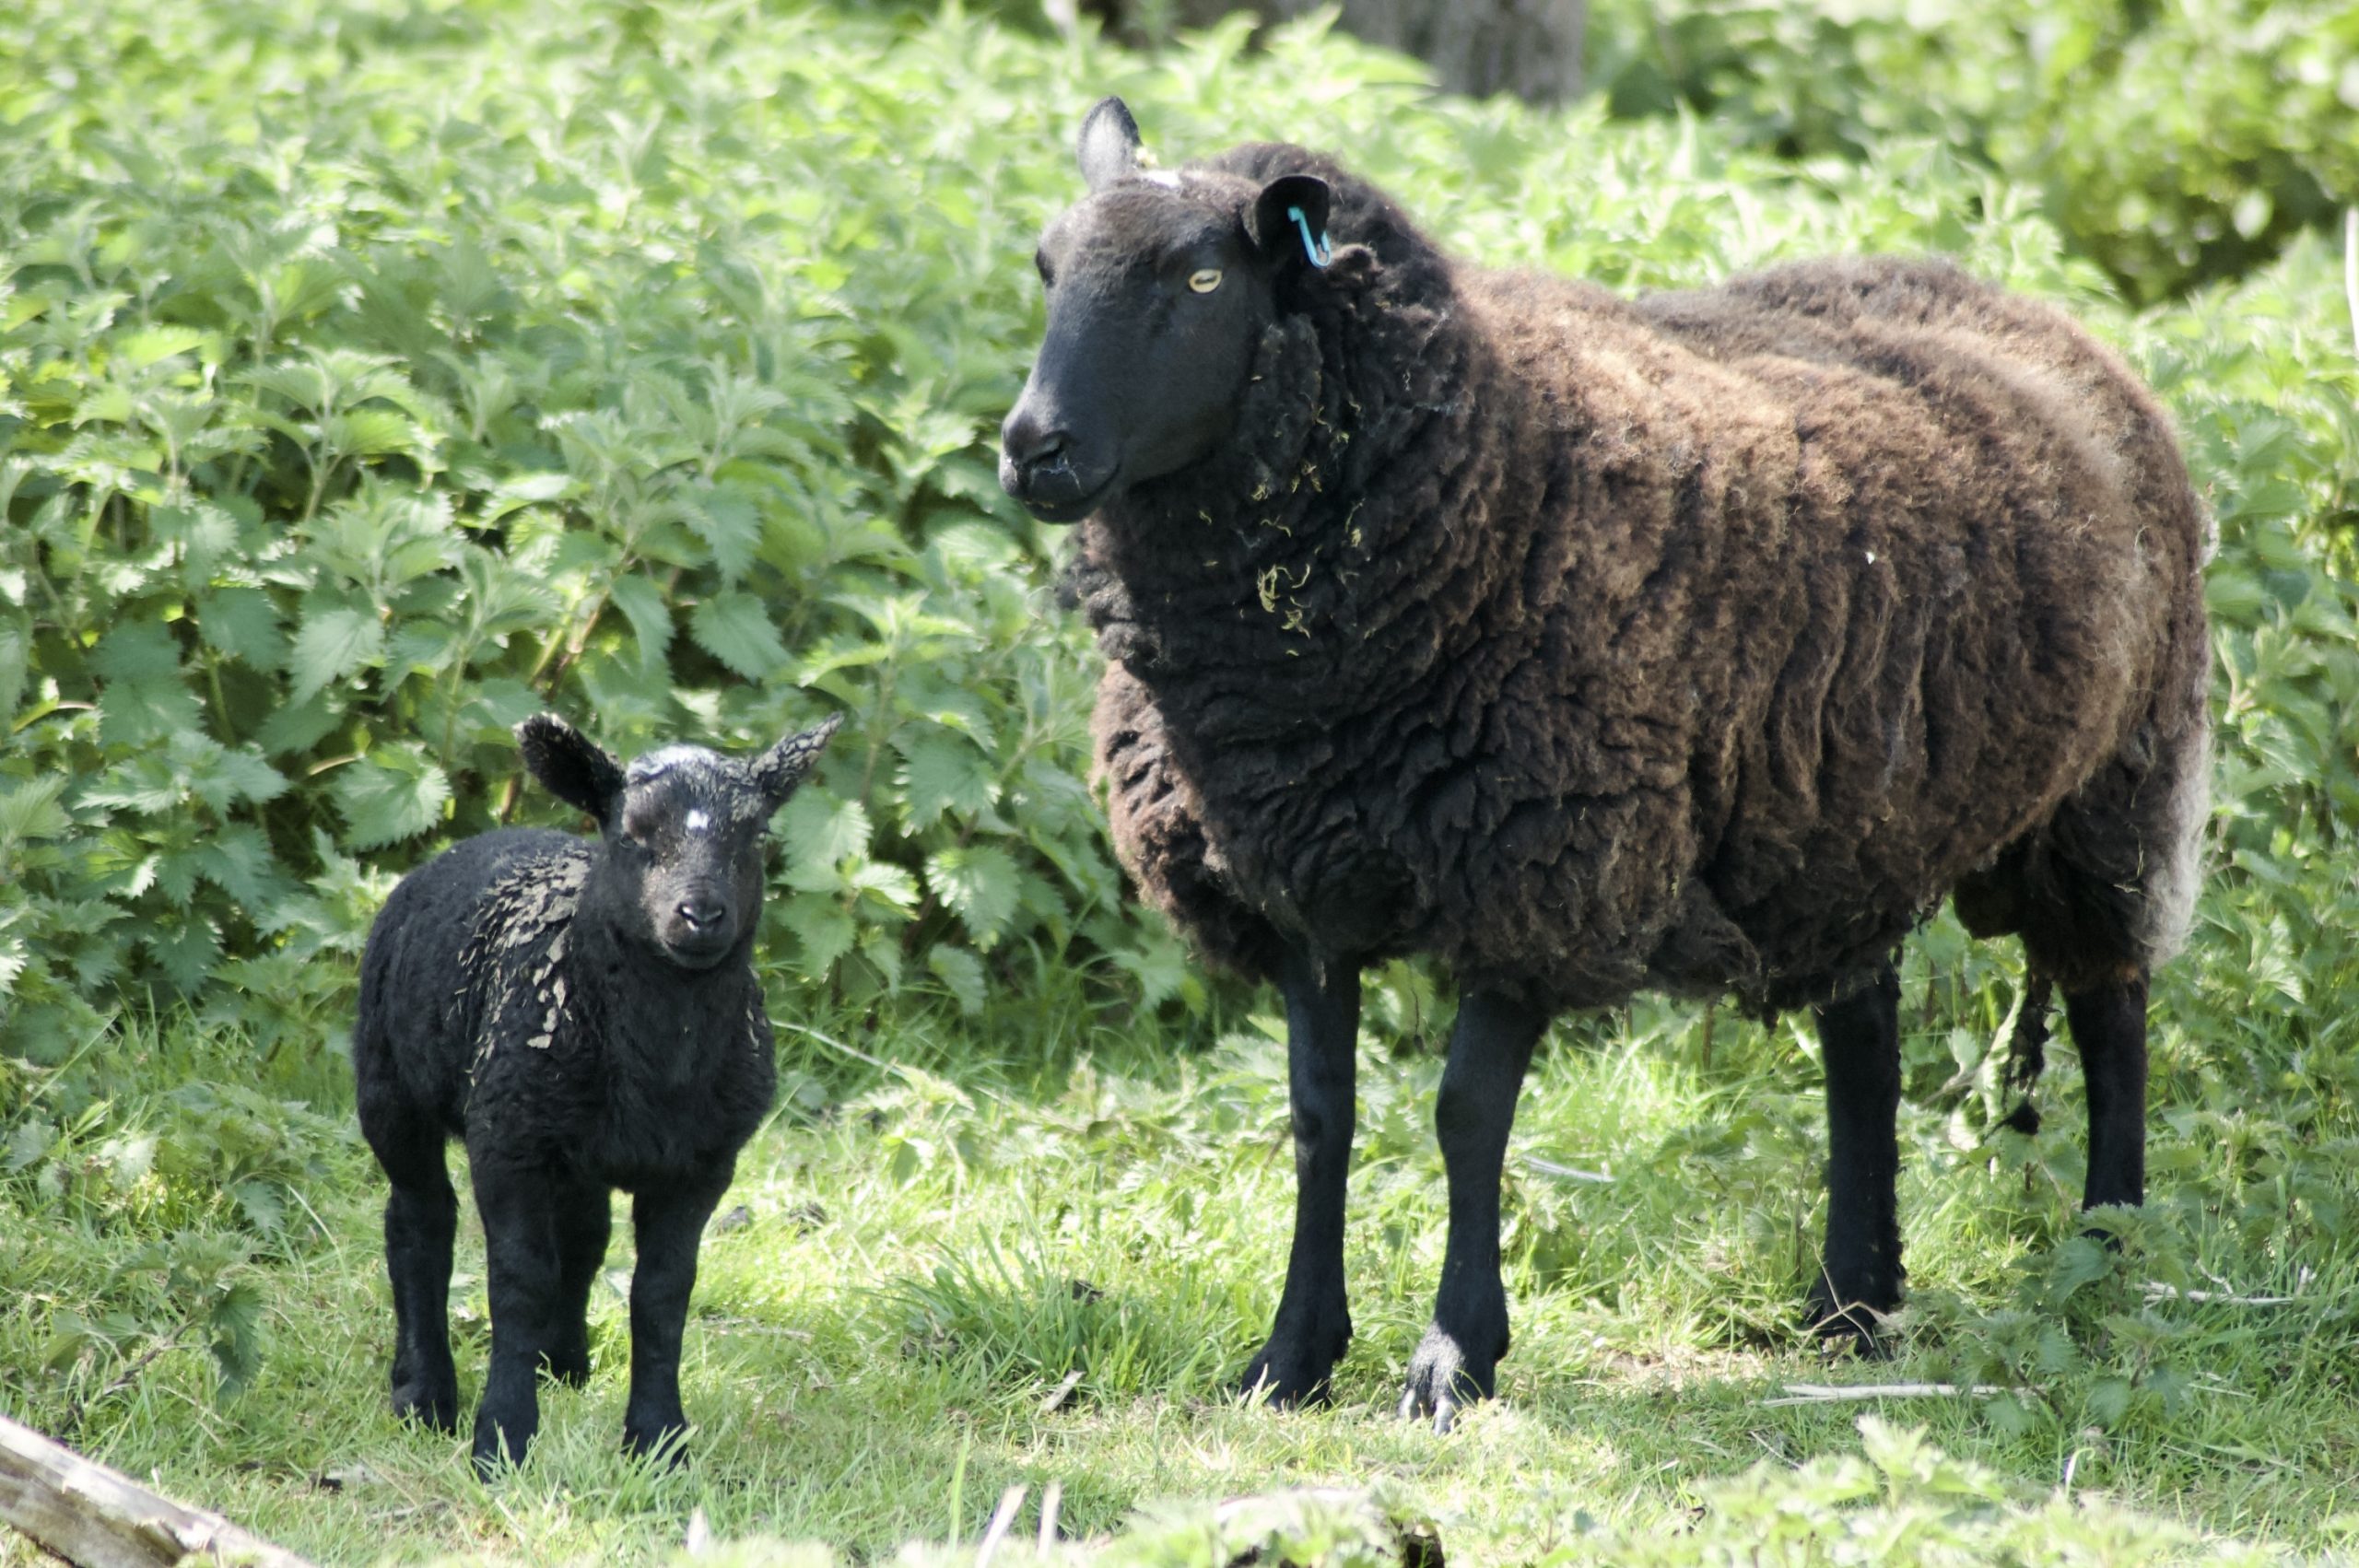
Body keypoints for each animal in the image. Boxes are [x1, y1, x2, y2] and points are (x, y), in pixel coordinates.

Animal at [352, 710, 840, 1471]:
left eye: (755, 836)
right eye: (632, 834)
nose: (700, 915)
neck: (662, 1057)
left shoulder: (703, 1164)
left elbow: (662, 1294)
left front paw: (660, 1440)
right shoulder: (507, 1143)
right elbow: (517, 1282)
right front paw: (502, 1437)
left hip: (574, 1140)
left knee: (582, 1235)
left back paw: (563, 1362)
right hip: (391, 1087)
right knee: (419, 1222)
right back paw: (425, 1394)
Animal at [999, 98, 2212, 1428]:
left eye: (1202, 276)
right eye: (1048, 267)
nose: (1033, 450)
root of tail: (2031, 306)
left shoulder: (1541, 868)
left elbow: (1465, 1115)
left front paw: (1453, 1358)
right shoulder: (1302, 879)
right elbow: (1322, 1117)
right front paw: (1291, 1357)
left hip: (2112, 781)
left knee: (2110, 1006)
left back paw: (2106, 1249)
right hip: (1845, 815)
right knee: (1866, 1035)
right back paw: (1850, 1300)